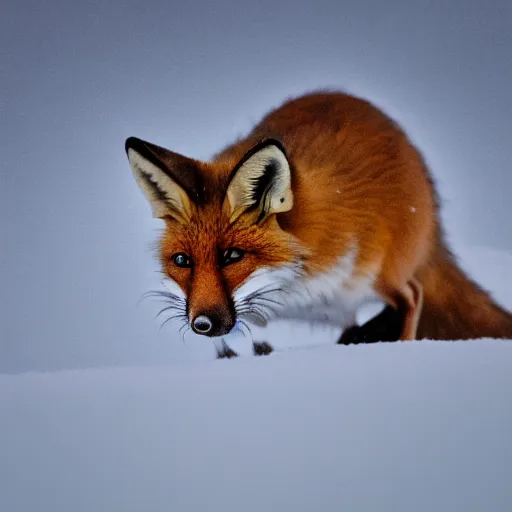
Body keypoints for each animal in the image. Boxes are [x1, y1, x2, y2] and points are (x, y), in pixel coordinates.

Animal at [124, 90, 512, 358]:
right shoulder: (251, 320)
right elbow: (243, 344)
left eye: (232, 256)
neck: (292, 288)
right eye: (182, 261)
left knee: (412, 295)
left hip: (383, 272)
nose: (202, 324)